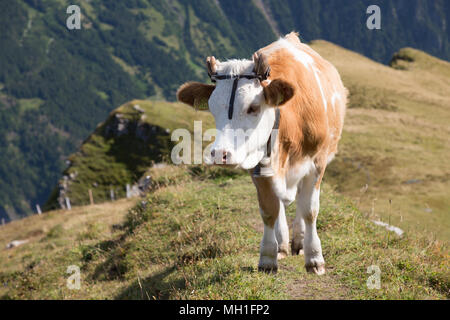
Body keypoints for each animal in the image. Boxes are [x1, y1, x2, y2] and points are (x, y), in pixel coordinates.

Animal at [178, 31, 346, 274]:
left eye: (253, 107)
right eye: (212, 108)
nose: (220, 154)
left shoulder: (318, 162)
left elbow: (309, 210)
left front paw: (314, 258)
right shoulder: (257, 166)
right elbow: (269, 211)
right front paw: (268, 257)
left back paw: (299, 240)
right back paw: (283, 245)